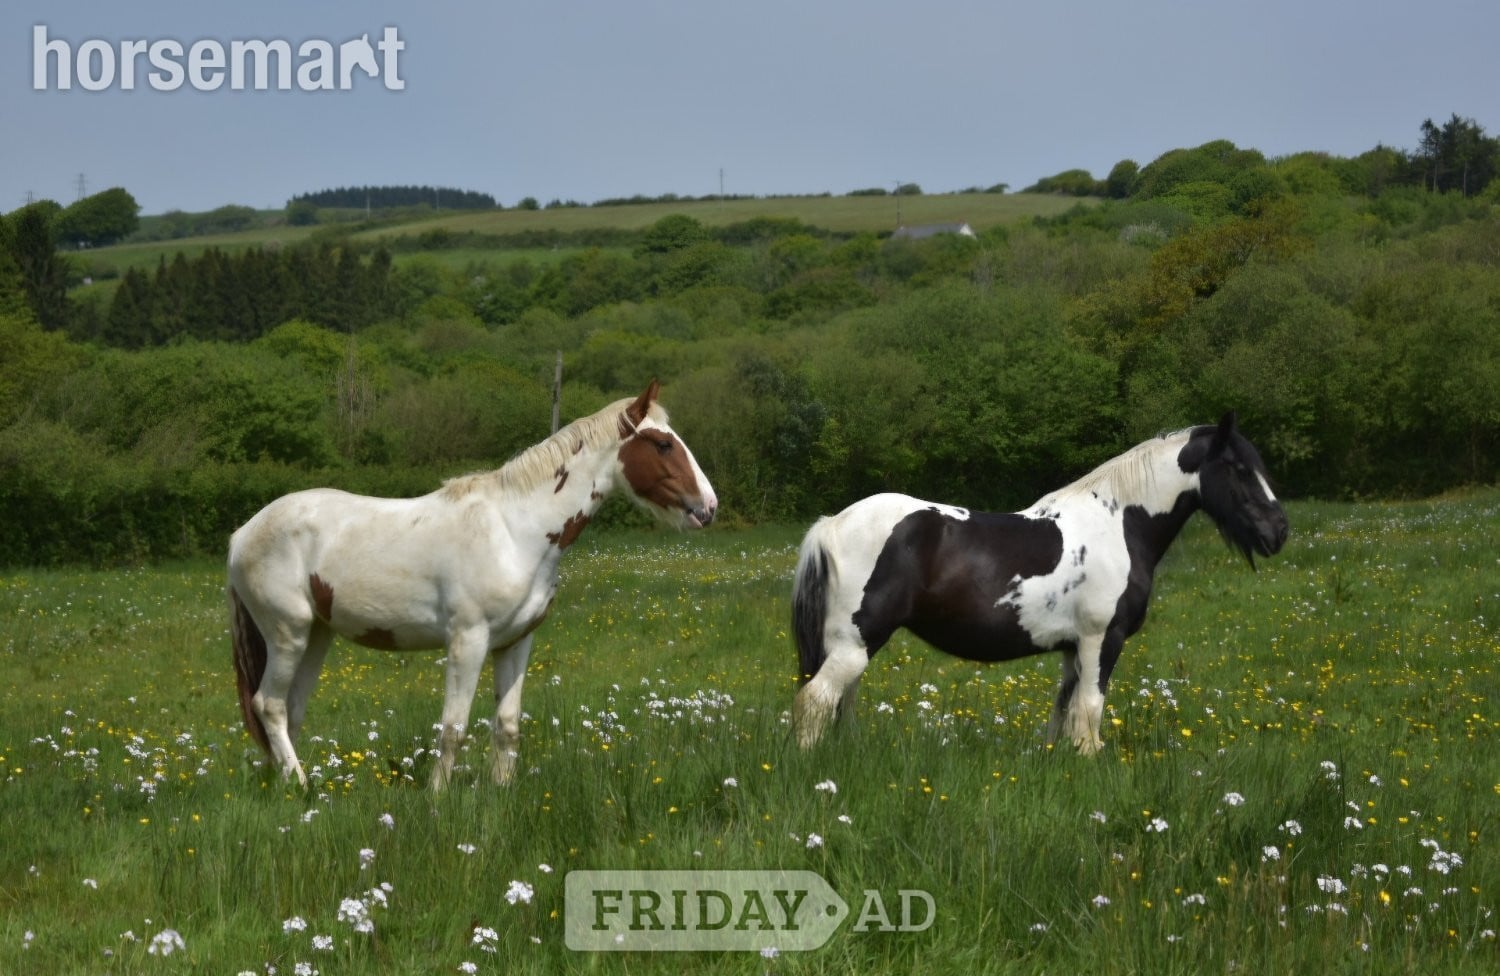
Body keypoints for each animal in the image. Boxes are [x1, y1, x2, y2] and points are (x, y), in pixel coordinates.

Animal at [228, 381, 717, 789]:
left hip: (317, 635)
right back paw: (301, 786)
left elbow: (507, 725)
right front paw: (438, 798)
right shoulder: (468, 640)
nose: (708, 507)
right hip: (287, 633)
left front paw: (500, 793)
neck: (514, 530)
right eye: (663, 444)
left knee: (291, 710)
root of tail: (241, 536)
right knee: (269, 705)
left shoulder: (516, 642)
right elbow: (454, 728)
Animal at [791, 413, 1287, 752]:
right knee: (816, 701)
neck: (1118, 524)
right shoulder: (1101, 639)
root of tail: (831, 524)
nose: (1279, 531)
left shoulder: (1072, 649)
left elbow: (1063, 714)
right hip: (855, 643)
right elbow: (1089, 712)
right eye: (1240, 469)